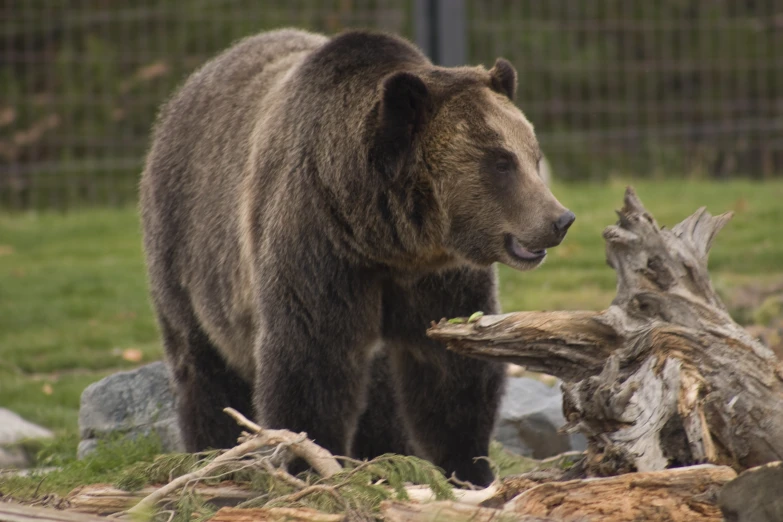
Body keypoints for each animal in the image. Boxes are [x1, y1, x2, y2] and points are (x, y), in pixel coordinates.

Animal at [138, 27, 572, 484]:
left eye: (533, 155)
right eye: (500, 161)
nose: (560, 219)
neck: (384, 238)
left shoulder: (437, 276)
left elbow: (451, 371)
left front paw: (469, 468)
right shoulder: (318, 248)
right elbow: (312, 361)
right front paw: (309, 464)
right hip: (185, 245)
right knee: (202, 365)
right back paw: (214, 454)